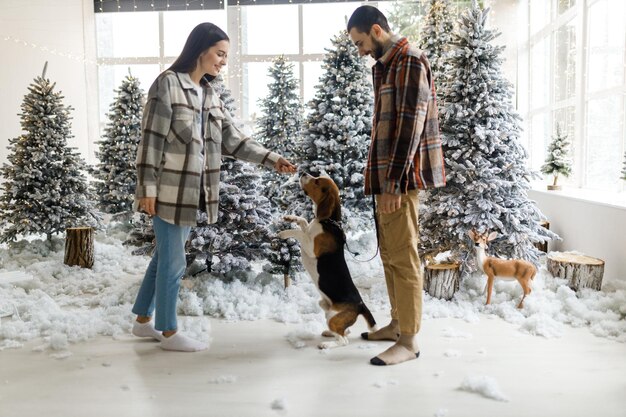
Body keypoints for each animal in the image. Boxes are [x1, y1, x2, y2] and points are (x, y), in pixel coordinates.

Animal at [278, 172, 376, 348]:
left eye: (317, 181)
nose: (303, 173)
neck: (328, 221)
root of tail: (360, 305)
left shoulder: (310, 246)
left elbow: (300, 233)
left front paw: (284, 233)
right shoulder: (309, 231)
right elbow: (303, 222)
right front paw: (291, 218)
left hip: (332, 315)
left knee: (343, 340)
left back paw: (326, 344)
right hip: (324, 305)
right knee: (344, 331)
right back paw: (329, 333)